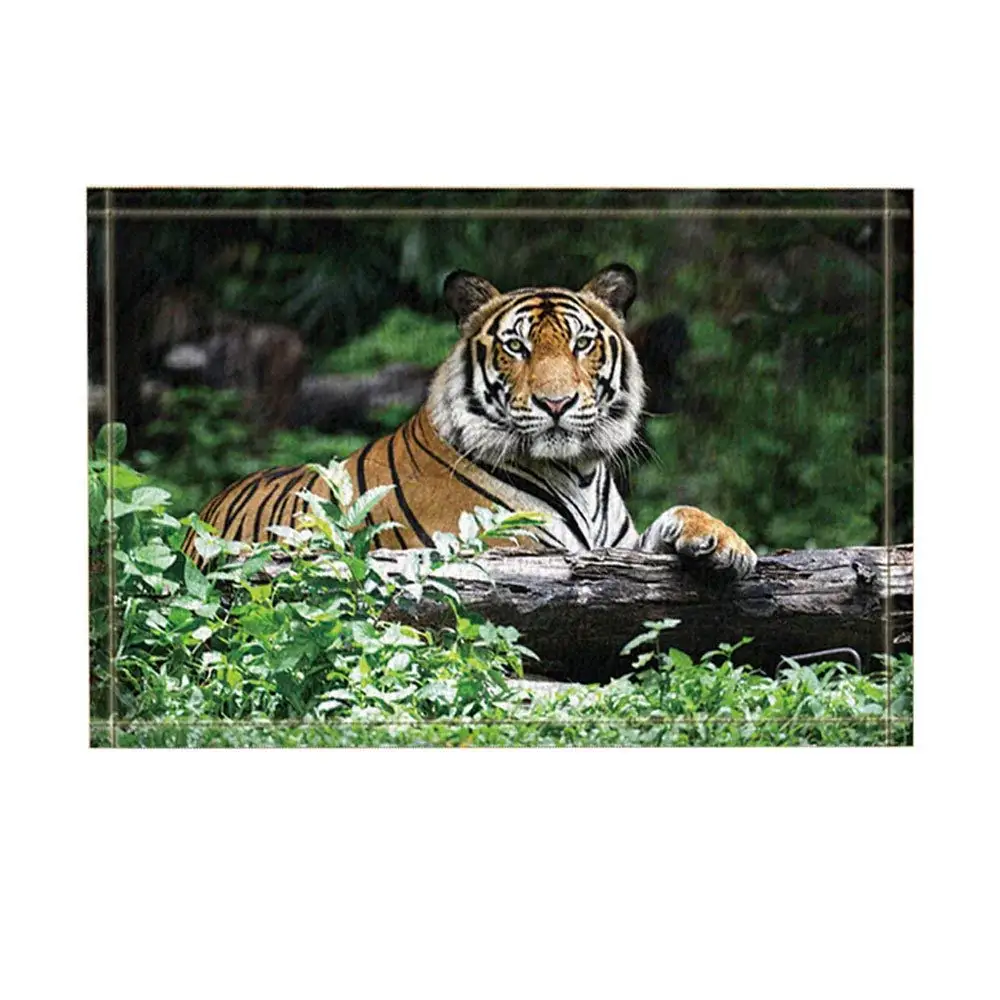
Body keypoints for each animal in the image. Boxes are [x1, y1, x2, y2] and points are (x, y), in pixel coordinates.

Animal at [183, 264, 757, 578]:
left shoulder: (618, 548)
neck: (579, 472)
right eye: (517, 347)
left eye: (581, 344)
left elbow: (677, 516)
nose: (556, 403)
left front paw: (726, 544)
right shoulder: (503, 549)